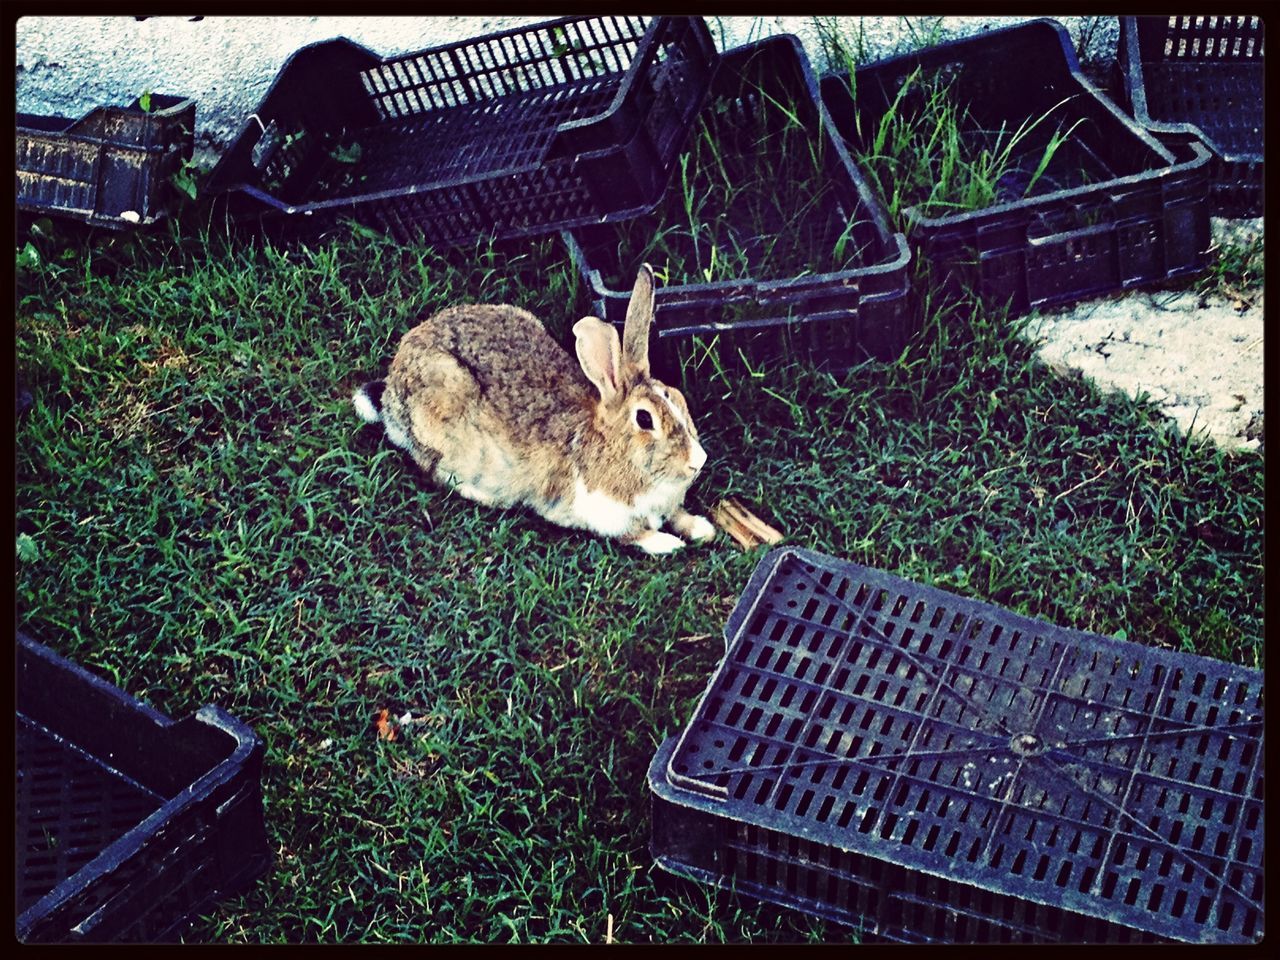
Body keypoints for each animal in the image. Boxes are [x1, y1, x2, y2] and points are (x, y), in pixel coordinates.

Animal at [350, 264, 716, 555]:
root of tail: (391, 390)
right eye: (644, 419)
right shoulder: (602, 514)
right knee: (434, 468)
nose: (698, 461)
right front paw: (667, 543)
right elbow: (634, 534)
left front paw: (702, 528)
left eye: (675, 396)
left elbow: (677, 515)